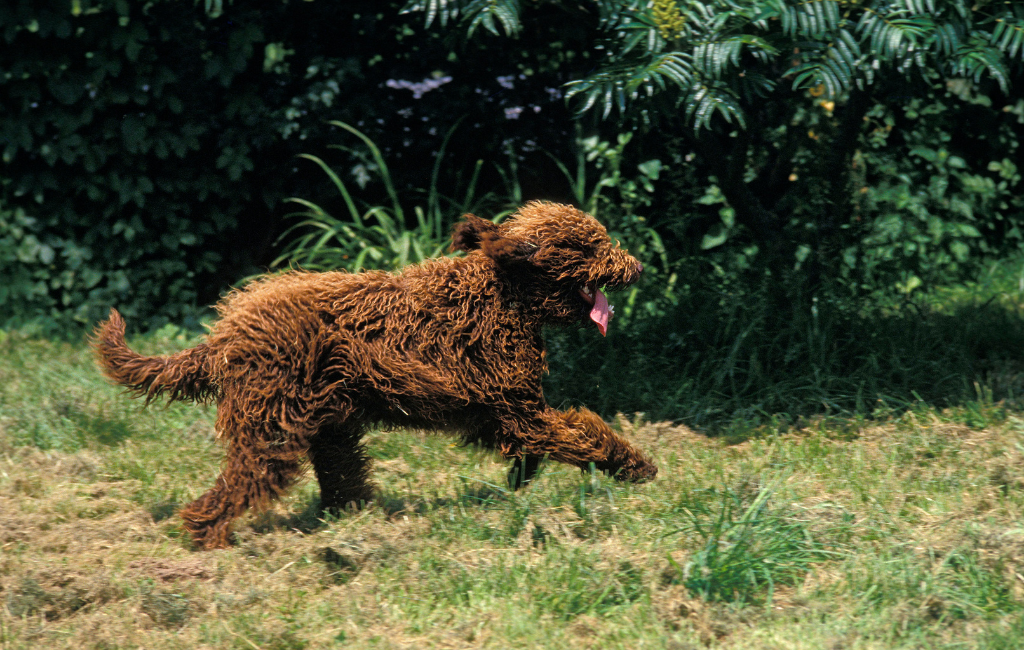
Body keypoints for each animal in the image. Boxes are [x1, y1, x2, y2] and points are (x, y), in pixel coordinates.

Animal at [94, 202, 655, 548]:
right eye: (592, 246)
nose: (638, 267)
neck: (502, 289)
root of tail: (223, 338)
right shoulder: (516, 408)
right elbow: (583, 432)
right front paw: (634, 465)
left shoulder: (502, 412)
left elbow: (549, 439)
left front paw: (524, 478)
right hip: (272, 427)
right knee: (240, 484)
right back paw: (205, 536)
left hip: (327, 423)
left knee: (340, 476)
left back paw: (356, 521)